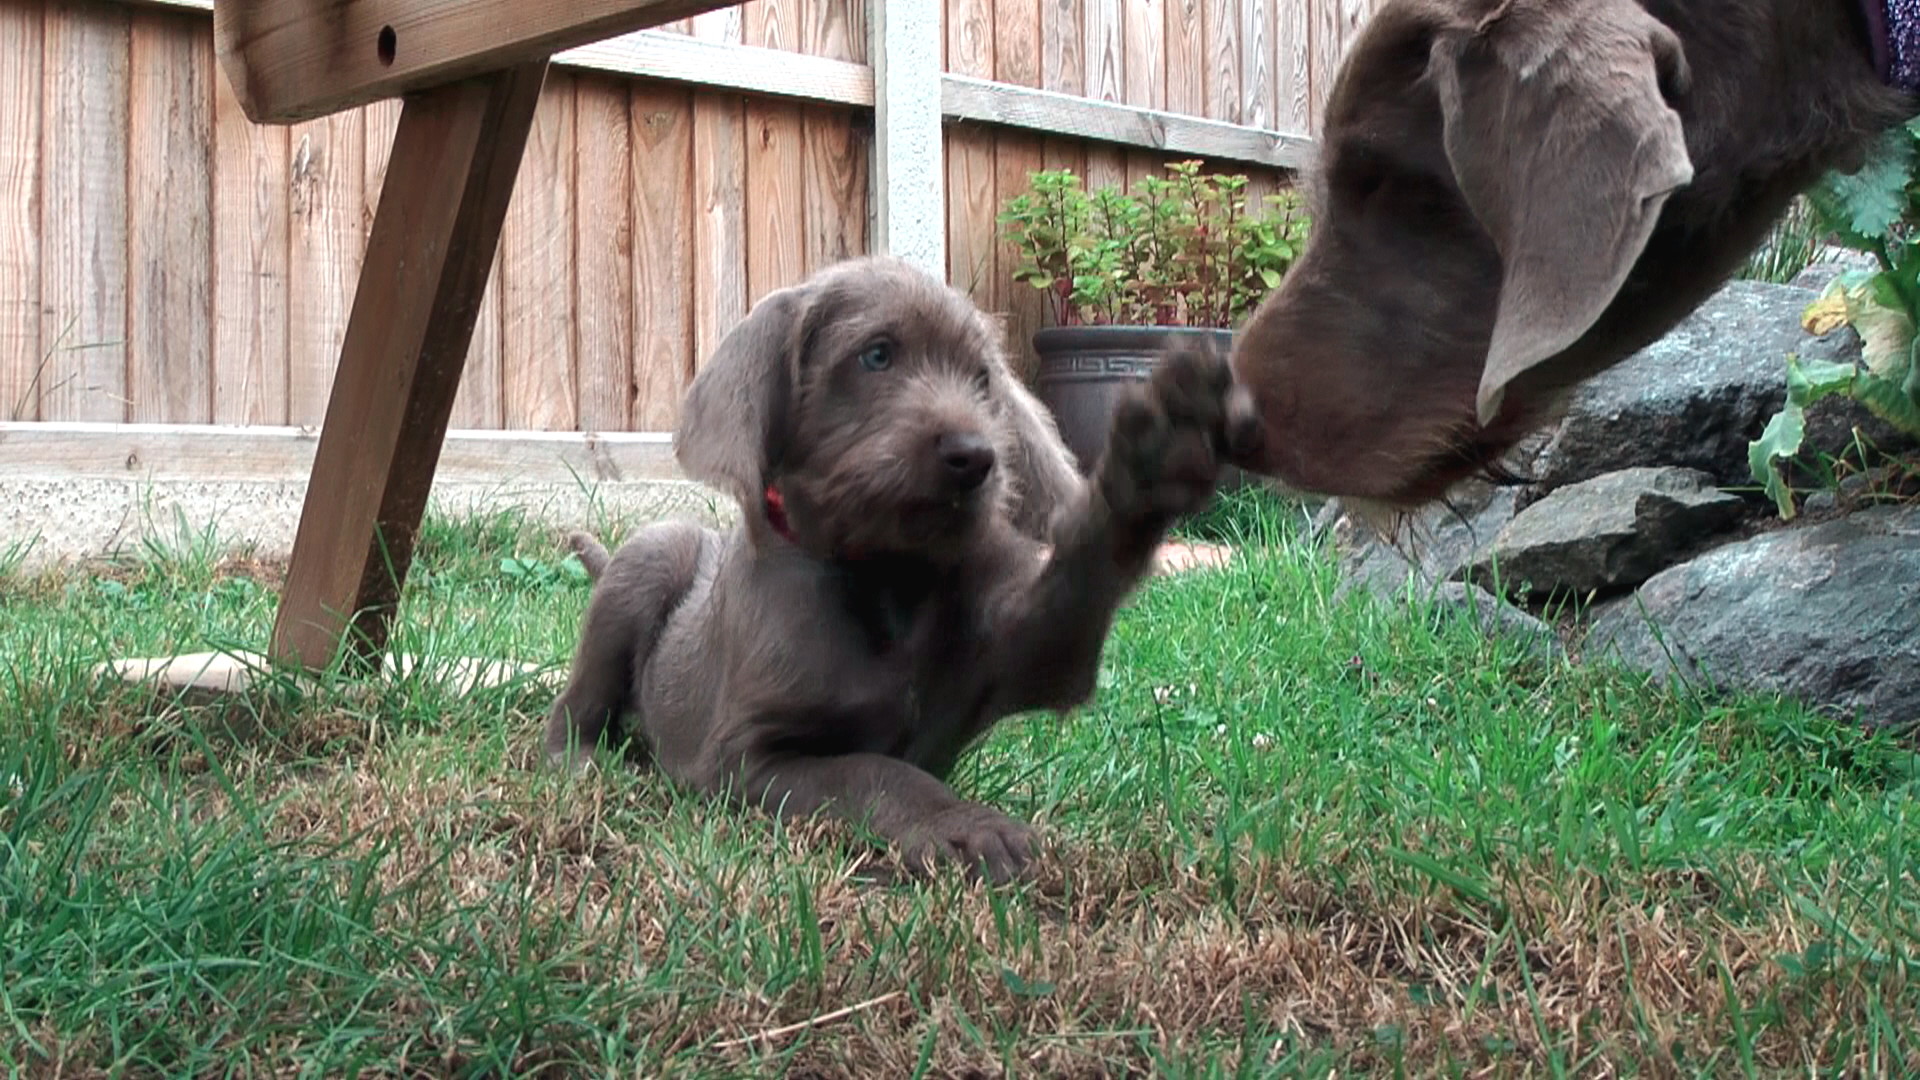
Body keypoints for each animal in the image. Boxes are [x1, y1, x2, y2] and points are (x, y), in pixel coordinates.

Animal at [545, 255, 1259, 880]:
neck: (887, 577)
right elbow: (873, 771)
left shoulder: (1036, 655)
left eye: (982, 380)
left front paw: (1154, 455)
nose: (975, 458)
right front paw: (962, 825)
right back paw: (583, 762)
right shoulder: (742, 761)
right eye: (877, 355)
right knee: (571, 707)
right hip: (651, 556)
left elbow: (1078, 579)